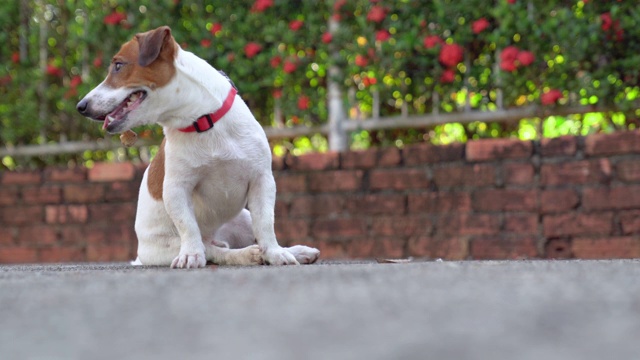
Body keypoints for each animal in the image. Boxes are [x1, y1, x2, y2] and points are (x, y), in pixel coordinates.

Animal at [77, 25, 320, 268]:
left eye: (118, 65)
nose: (81, 106)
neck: (202, 122)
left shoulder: (262, 180)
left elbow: (266, 223)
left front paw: (276, 253)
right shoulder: (176, 189)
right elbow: (188, 225)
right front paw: (191, 255)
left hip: (243, 217)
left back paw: (295, 251)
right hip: (166, 247)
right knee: (213, 249)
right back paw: (243, 254)